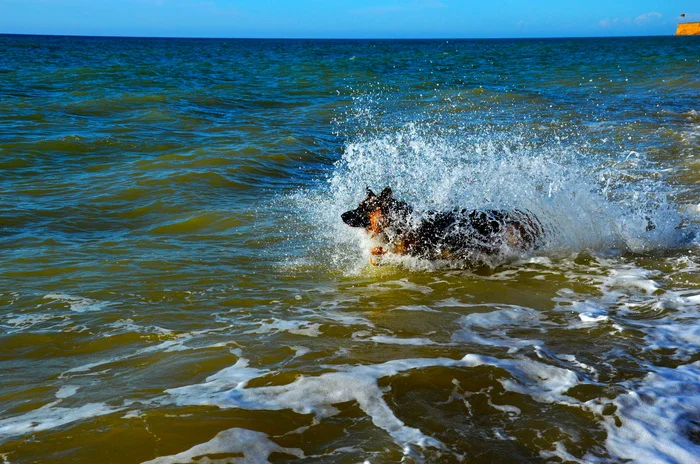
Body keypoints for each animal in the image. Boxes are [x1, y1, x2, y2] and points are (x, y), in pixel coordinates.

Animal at [342, 186, 544, 264]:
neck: (400, 221)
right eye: (358, 205)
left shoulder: (412, 249)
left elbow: (386, 251)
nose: (342, 215)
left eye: (363, 208)